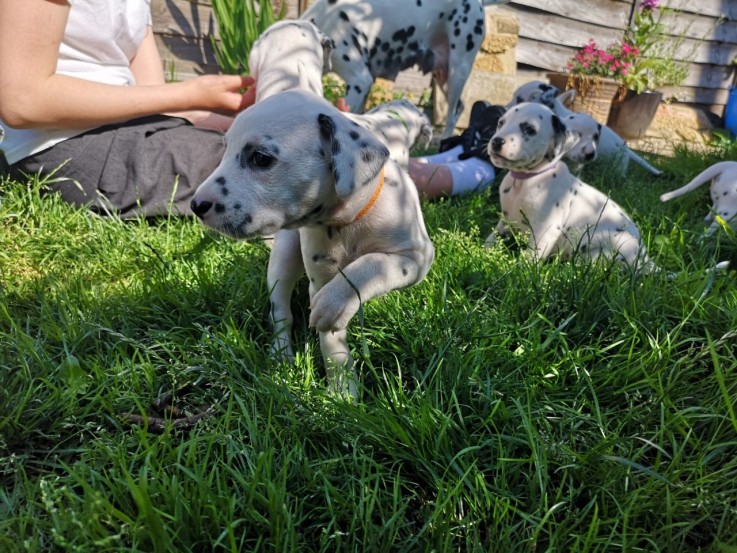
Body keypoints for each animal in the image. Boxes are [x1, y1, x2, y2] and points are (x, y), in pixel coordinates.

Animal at [187, 91, 436, 402]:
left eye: (260, 158)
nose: (196, 205)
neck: (347, 222)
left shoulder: (417, 257)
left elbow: (374, 263)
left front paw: (335, 303)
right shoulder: (320, 280)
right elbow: (333, 346)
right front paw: (343, 391)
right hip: (283, 260)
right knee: (281, 313)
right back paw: (281, 355)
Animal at [486, 101, 660, 274]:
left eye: (529, 129)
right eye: (501, 123)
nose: (496, 141)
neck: (526, 181)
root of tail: (646, 260)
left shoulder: (546, 227)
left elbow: (532, 256)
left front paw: (521, 272)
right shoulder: (506, 218)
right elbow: (493, 236)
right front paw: (484, 249)